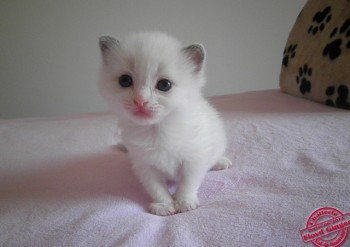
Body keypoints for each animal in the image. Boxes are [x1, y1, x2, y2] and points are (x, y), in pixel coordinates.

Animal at [98, 31, 232, 215]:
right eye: (125, 81)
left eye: (164, 84)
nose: (140, 101)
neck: (157, 130)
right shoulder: (144, 165)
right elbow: (156, 188)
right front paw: (164, 205)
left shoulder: (195, 159)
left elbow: (187, 183)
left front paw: (184, 202)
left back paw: (220, 162)